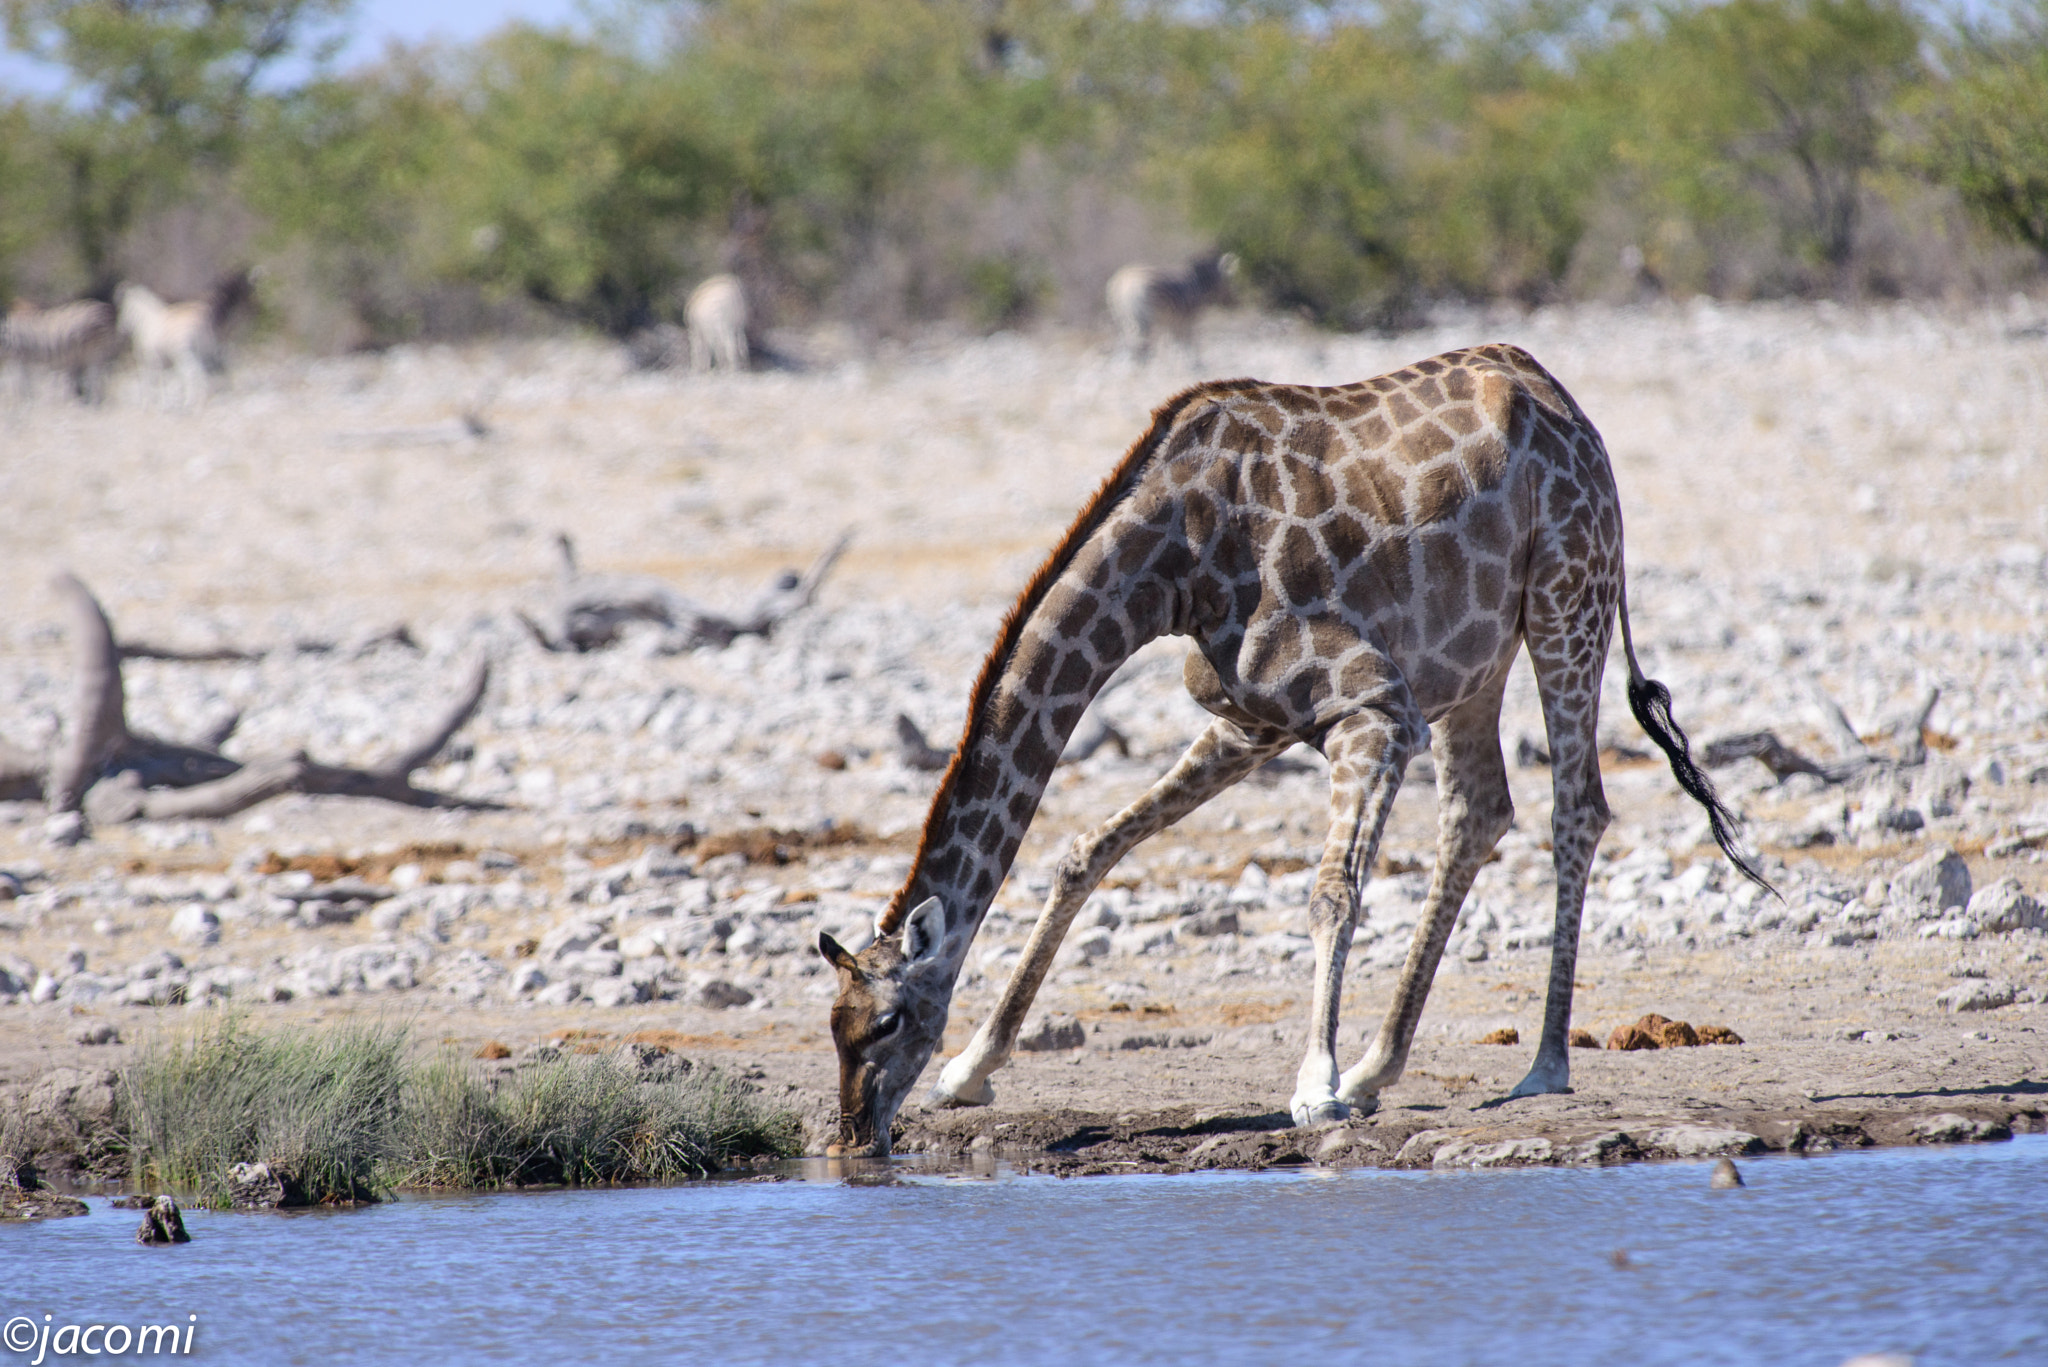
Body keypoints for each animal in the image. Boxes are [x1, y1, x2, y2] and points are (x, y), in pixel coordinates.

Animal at [815, 342, 1761, 1155]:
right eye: (834, 1024)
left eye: (888, 1021)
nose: (856, 1134)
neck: (1175, 558)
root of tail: (1570, 409)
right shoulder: (1254, 718)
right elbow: (1090, 848)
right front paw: (972, 1068)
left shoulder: (1374, 705)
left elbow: (1331, 892)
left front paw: (1315, 1086)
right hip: (1475, 657)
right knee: (1480, 809)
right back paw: (1380, 1067)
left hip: (1569, 595)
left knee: (1577, 809)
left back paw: (1541, 1065)